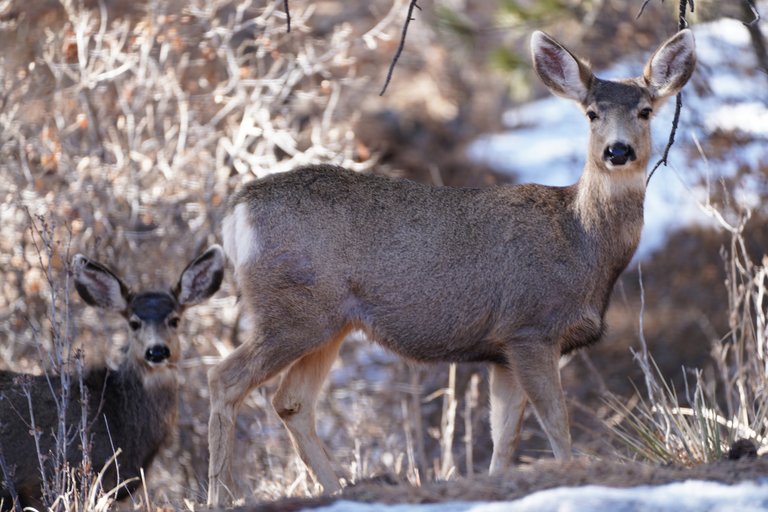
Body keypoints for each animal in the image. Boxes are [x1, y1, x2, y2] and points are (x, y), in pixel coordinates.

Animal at [206, 29, 696, 504]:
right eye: (592, 113)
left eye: (646, 111)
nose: (618, 151)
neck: (581, 240)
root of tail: (236, 210)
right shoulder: (531, 327)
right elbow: (556, 424)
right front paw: (570, 476)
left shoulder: (502, 349)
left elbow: (504, 437)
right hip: (291, 312)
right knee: (225, 380)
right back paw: (222, 494)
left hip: (329, 322)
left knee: (292, 402)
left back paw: (337, 490)